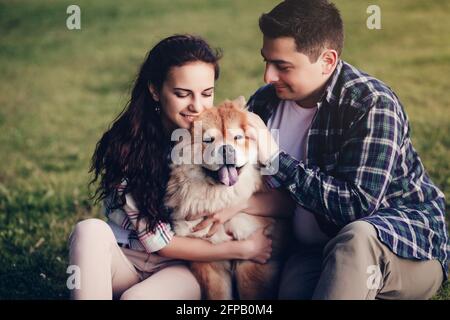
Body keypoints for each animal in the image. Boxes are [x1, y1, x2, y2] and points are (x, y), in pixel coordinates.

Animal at [164, 97, 288, 300]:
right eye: (208, 140)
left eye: (237, 138)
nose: (226, 150)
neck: (221, 198)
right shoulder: (208, 261)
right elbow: (218, 293)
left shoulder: (253, 260)